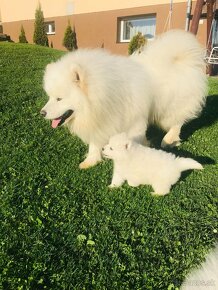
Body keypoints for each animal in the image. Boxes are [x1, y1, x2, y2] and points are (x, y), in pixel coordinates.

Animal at [40, 28, 206, 169]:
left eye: (59, 99)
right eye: (49, 97)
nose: (42, 113)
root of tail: (180, 58)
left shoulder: (135, 123)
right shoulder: (101, 121)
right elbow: (94, 143)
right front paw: (90, 161)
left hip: (168, 110)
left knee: (177, 123)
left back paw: (169, 140)